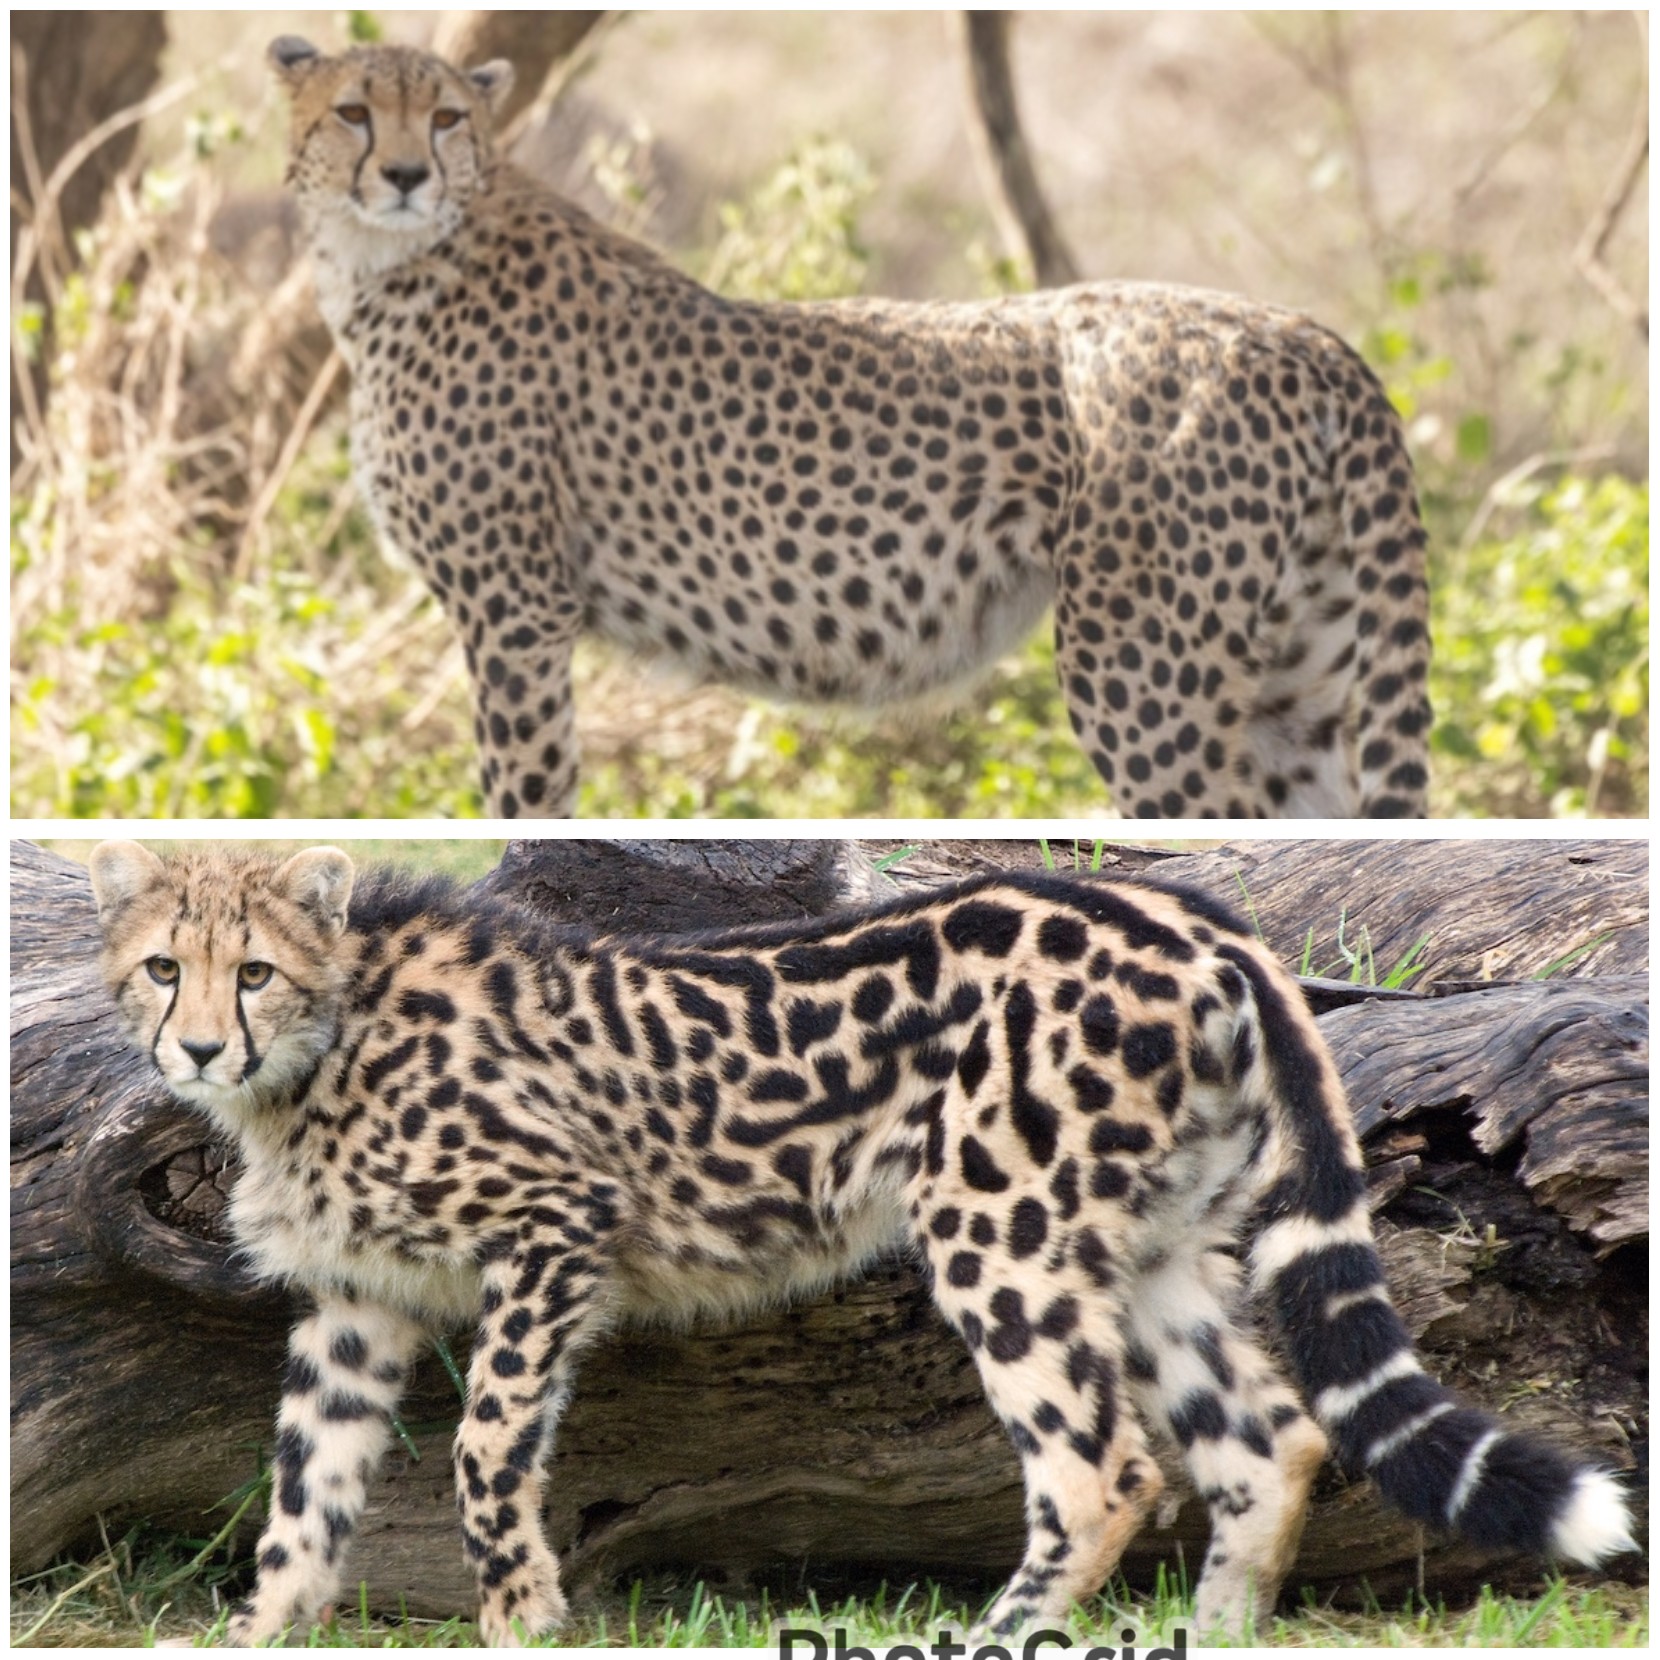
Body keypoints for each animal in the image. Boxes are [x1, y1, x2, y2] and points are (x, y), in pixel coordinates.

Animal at [89, 840, 1629, 1645]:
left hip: (999, 1231)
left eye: (254, 968)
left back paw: (1001, 1633)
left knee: (1103, 1468)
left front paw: (523, 1616)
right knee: (1271, 1440)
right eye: (164, 967)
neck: (325, 1042)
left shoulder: (555, 1228)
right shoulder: (356, 1305)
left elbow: (483, 1457)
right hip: (1151, 1248)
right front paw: (257, 1633)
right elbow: (302, 1497)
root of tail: (1180, 911)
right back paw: (1213, 1628)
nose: (200, 1044)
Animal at [267, 35, 1433, 820]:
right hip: (1295, 676)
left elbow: (529, 792)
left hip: (1144, 672)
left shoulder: (514, 606)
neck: (384, 264)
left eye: (446, 119)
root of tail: (1297, 329)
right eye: (354, 111)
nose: (406, 174)